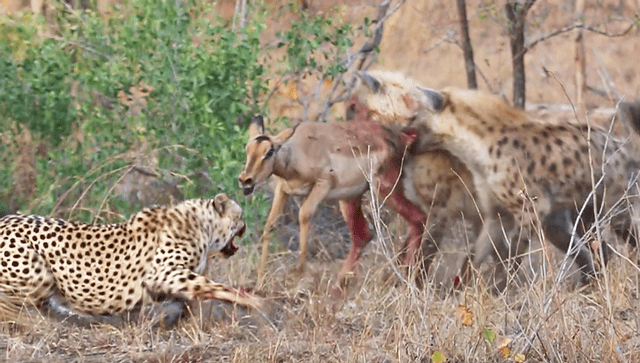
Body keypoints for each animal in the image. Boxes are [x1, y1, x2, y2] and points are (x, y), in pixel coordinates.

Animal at [0, 195, 264, 322]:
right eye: (240, 214)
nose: (245, 225)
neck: (203, 226)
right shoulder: (164, 273)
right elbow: (214, 286)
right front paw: (255, 301)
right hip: (38, 274)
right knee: (24, 307)